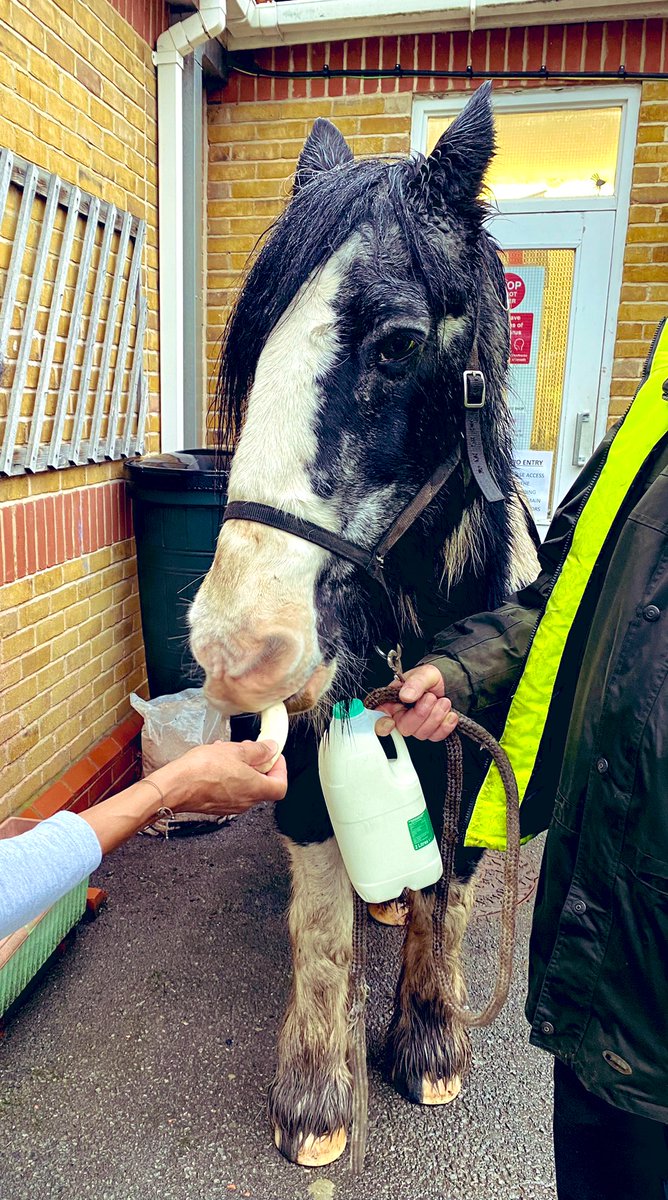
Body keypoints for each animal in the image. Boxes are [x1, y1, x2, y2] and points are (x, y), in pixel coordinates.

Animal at [189, 82, 539, 1168]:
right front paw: (316, 1098)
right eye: (250, 348)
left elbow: (450, 894)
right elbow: (320, 929)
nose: (238, 647)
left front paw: (428, 1041)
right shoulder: (305, 774)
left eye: (395, 342)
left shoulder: (476, 755)